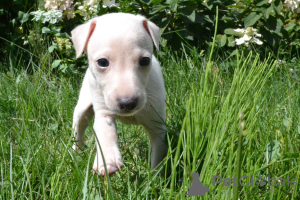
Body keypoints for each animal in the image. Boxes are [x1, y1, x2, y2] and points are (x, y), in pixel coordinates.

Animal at [71, 12, 168, 176]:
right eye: (102, 62)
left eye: (145, 61)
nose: (127, 103)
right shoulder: (104, 112)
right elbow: (106, 132)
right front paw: (107, 161)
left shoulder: (157, 126)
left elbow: (158, 158)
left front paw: (155, 178)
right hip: (84, 103)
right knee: (79, 126)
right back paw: (75, 153)